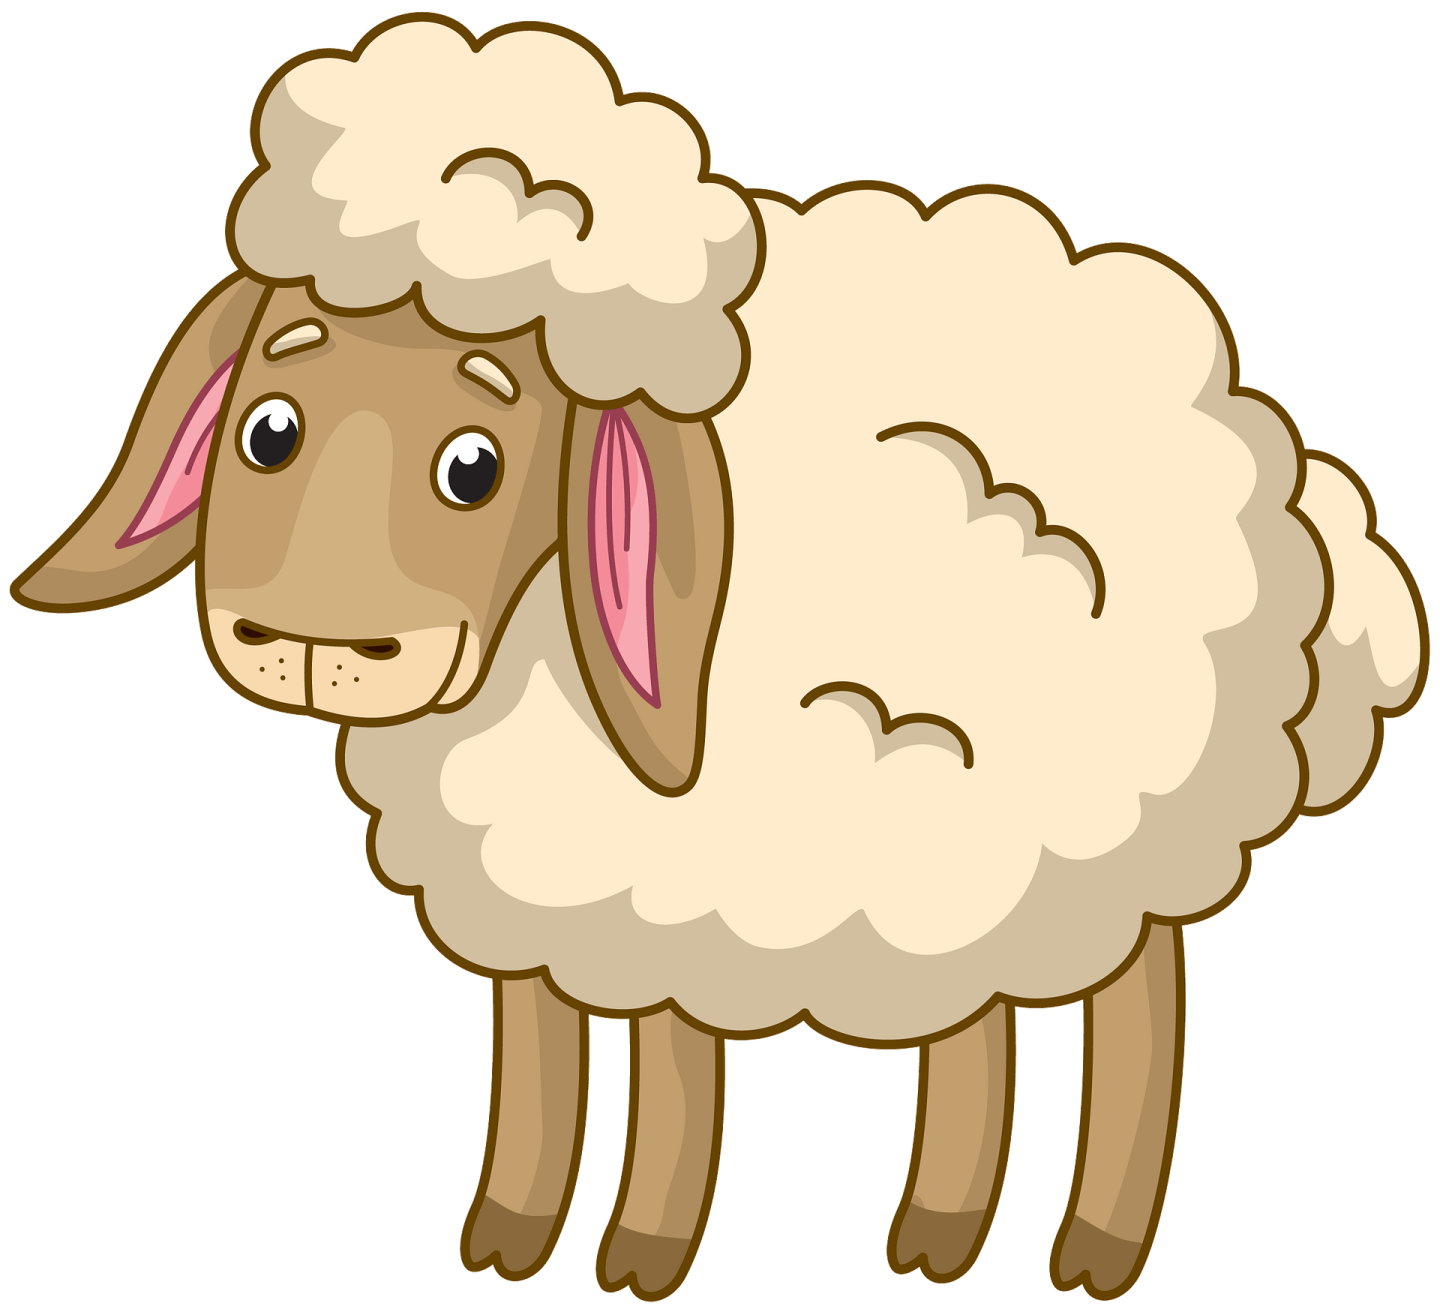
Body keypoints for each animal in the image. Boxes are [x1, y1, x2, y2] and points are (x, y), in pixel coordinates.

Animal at [9, 15, 1430, 1305]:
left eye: (474, 467)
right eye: (266, 431)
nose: (312, 647)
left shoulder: (677, 908)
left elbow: (681, 1085)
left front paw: (640, 1260)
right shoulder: (537, 903)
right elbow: (538, 1060)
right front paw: (508, 1242)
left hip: (1109, 840)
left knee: (1137, 1018)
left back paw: (1092, 1255)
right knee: (976, 1034)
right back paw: (938, 1236)